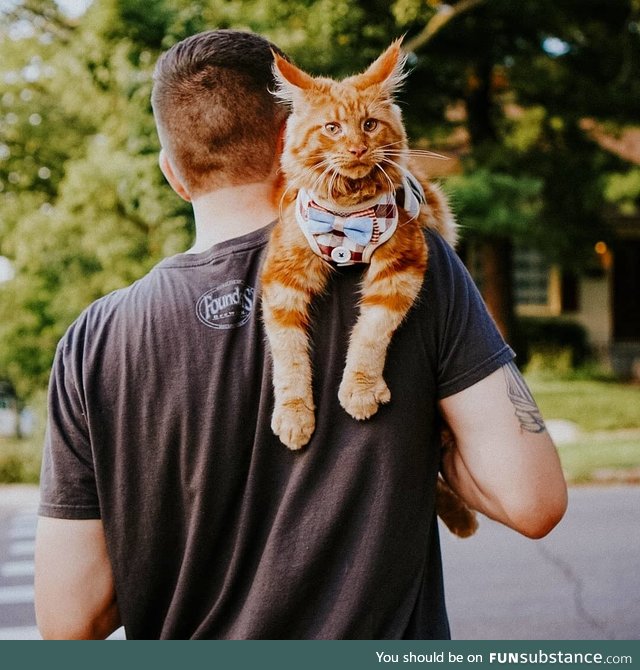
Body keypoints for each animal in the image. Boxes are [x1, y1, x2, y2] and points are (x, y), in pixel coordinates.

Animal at [260, 39, 476, 540]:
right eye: (332, 128)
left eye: (369, 125)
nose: (357, 147)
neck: (345, 214)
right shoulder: (282, 277)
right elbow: (289, 354)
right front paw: (295, 414)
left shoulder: (402, 264)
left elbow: (371, 332)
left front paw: (358, 391)